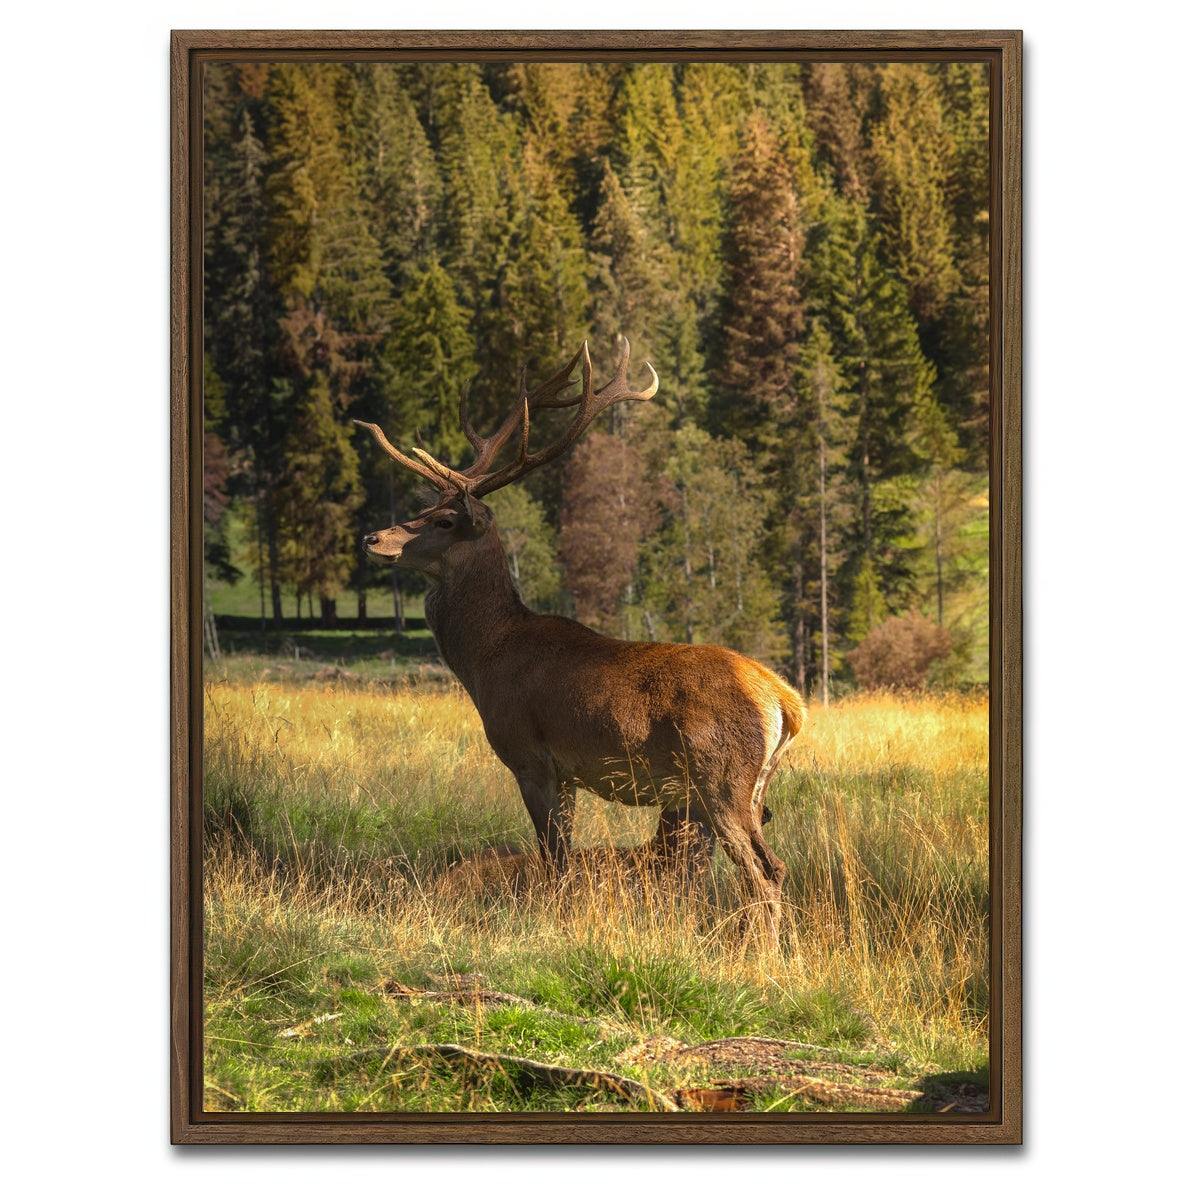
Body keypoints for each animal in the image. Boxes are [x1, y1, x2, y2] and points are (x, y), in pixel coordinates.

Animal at [355, 339, 805, 945]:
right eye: (423, 508)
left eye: (445, 520)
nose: (372, 537)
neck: (486, 659)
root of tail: (784, 700)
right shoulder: (567, 773)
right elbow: (561, 858)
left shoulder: (530, 754)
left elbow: (556, 860)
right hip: (750, 787)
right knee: (771, 864)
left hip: (720, 778)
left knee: (763, 870)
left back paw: (765, 955)